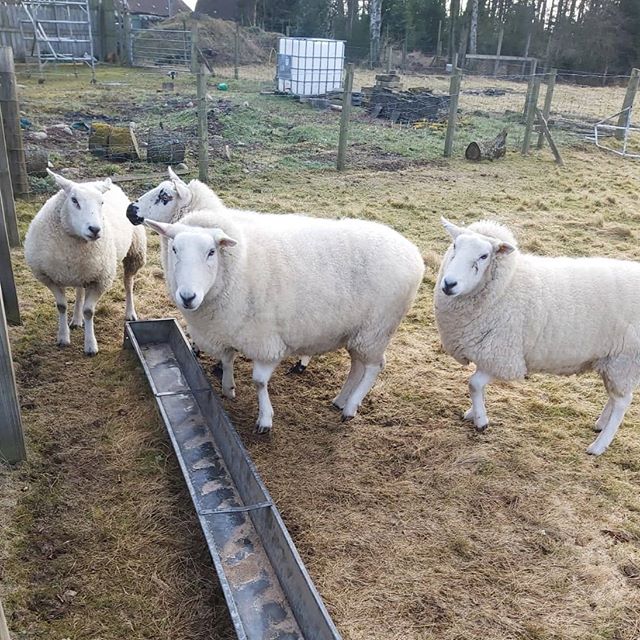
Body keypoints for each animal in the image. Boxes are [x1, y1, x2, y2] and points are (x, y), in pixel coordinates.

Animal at [24, 170, 146, 355]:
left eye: (101, 202)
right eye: (74, 200)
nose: (95, 229)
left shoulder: (101, 280)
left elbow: (89, 311)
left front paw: (90, 345)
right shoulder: (48, 277)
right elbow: (61, 306)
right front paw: (63, 337)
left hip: (134, 253)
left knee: (128, 283)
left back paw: (130, 312)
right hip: (83, 270)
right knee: (80, 291)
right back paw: (76, 319)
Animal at [143, 207, 424, 433]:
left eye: (211, 252)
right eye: (174, 249)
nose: (187, 296)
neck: (238, 265)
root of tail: (413, 252)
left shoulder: (265, 340)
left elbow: (259, 382)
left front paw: (265, 420)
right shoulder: (230, 327)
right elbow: (227, 358)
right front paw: (228, 388)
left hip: (377, 329)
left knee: (375, 366)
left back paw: (351, 407)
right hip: (357, 332)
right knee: (357, 366)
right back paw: (341, 400)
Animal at [434, 216, 640, 456]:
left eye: (484, 256)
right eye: (455, 246)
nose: (449, 284)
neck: (506, 286)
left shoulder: (503, 356)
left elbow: (474, 384)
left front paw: (481, 420)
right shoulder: (487, 353)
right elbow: (477, 386)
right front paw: (472, 412)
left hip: (625, 359)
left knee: (623, 402)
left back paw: (599, 445)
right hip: (611, 361)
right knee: (614, 397)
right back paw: (600, 424)